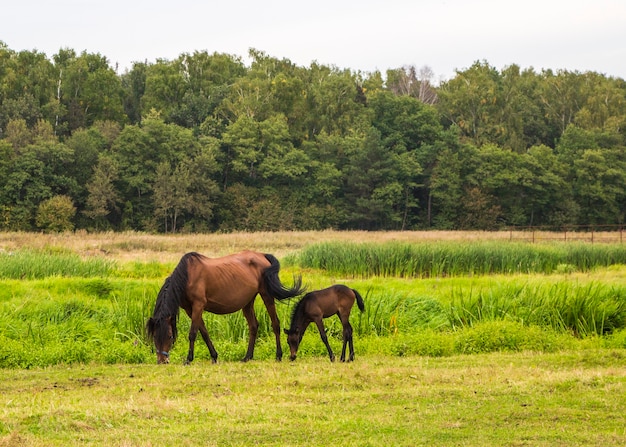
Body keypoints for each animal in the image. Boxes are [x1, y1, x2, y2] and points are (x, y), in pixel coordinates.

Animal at [146, 250, 302, 366]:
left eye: (170, 336)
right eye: (154, 336)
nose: (162, 361)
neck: (187, 277)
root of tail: (262, 255)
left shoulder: (198, 306)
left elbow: (193, 333)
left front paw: (189, 359)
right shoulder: (190, 309)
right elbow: (204, 332)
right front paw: (214, 356)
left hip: (266, 295)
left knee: (275, 323)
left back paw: (278, 355)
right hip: (247, 303)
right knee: (253, 326)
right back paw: (247, 357)